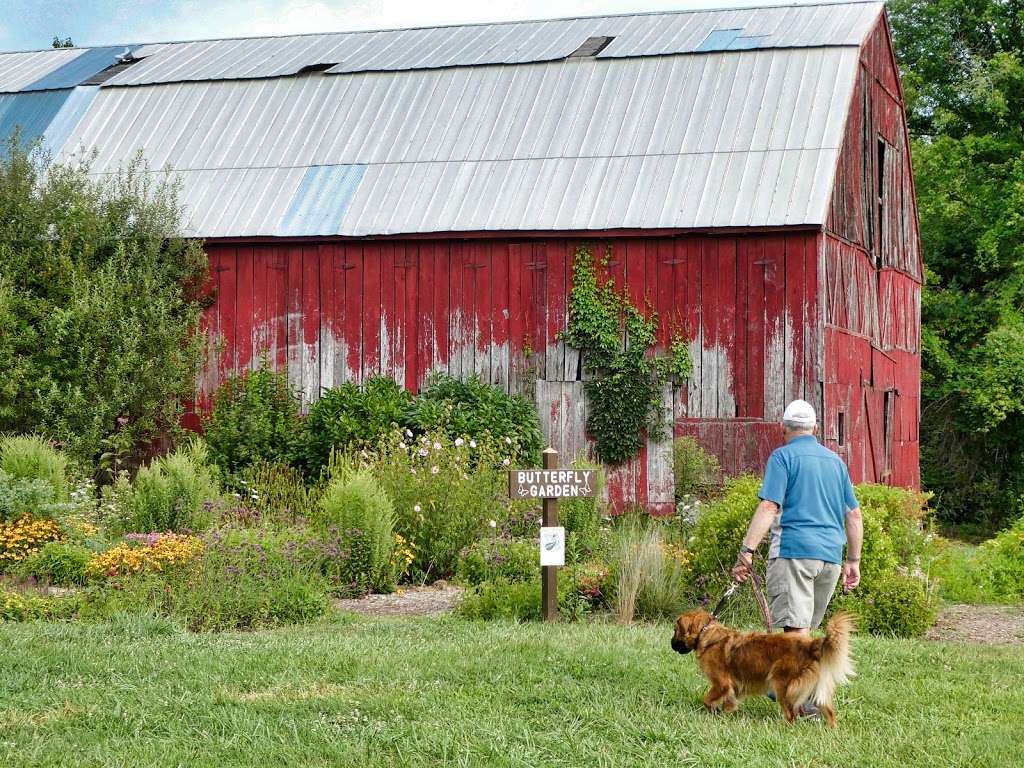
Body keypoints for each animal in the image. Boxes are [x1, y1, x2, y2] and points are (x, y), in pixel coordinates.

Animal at [671, 606, 856, 729]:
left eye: (675, 630)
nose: (671, 644)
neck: (706, 633)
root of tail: (810, 645)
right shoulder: (732, 686)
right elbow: (729, 701)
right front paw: (725, 715)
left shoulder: (721, 683)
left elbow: (707, 699)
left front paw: (713, 711)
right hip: (814, 688)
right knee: (829, 711)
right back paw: (831, 729)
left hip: (780, 683)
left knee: (791, 714)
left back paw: (784, 728)